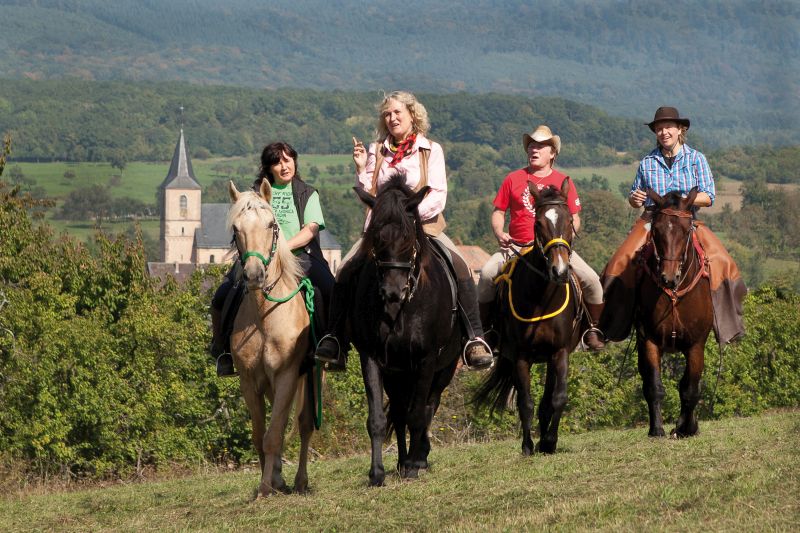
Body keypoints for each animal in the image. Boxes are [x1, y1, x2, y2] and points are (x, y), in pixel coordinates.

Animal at [225, 182, 316, 494]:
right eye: (235, 228)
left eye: (271, 225)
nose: (254, 275)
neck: (265, 316)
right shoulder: (249, 380)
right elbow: (259, 435)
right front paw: (269, 480)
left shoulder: (288, 375)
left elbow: (275, 433)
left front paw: (266, 487)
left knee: (304, 423)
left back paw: (300, 480)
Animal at [350, 176, 462, 486]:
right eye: (376, 237)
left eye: (408, 238)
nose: (392, 291)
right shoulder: (373, 358)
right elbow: (378, 418)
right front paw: (377, 473)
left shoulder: (426, 360)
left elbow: (418, 414)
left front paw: (413, 465)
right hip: (397, 373)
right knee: (399, 413)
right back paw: (401, 461)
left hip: (443, 368)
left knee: (427, 406)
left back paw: (417, 458)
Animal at [476, 181, 580, 456]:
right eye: (539, 223)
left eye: (569, 221)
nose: (559, 271)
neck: (541, 297)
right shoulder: (521, 355)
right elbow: (525, 402)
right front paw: (527, 446)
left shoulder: (559, 351)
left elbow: (558, 397)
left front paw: (550, 441)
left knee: (548, 400)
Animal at [632, 187, 712, 436]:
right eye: (656, 230)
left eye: (687, 231)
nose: (669, 276)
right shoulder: (648, 340)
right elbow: (654, 386)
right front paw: (657, 429)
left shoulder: (696, 344)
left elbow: (691, 388)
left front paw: (685, 428)